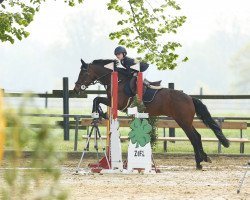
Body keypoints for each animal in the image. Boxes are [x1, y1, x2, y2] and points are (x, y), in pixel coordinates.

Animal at [73, 58, 229, 170]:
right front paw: (100, 114)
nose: (76, 89)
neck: (118, 79)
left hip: (183, 121)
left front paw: (99, 113)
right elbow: (97, 99)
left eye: (83, 73)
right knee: (197, 136)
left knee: (194, 138)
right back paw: (204, 158)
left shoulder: (120, 104)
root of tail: (190, 98)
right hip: (185, 121)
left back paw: (199, 163)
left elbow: (96, 98)